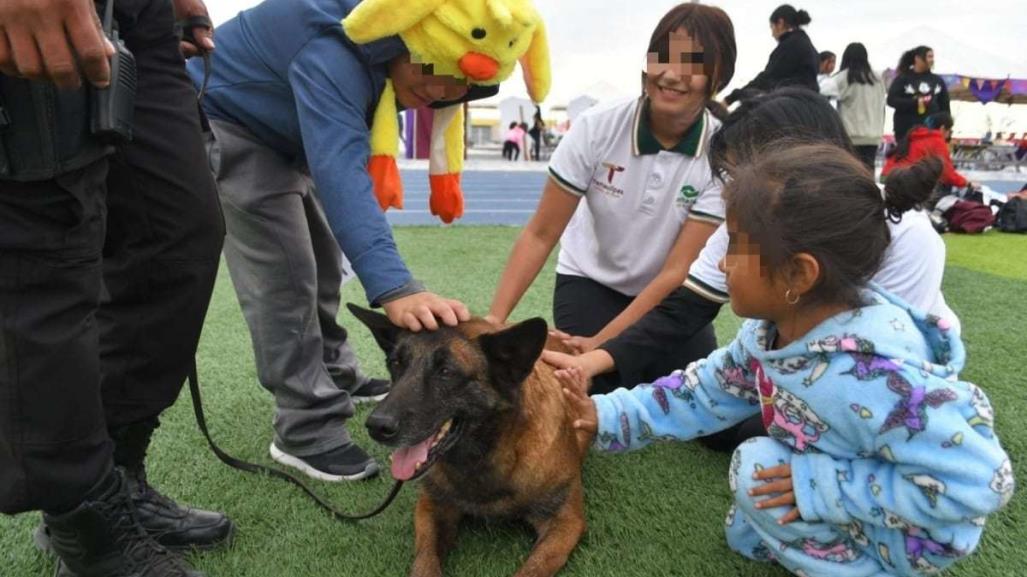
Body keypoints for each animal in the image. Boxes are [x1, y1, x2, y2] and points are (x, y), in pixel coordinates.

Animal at [349, 303, 587, 570]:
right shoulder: (431, 507)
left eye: (446, 371)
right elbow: (425, 562)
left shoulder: (564, 522)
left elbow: (533, 569)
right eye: (396, 363)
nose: (377, 426)